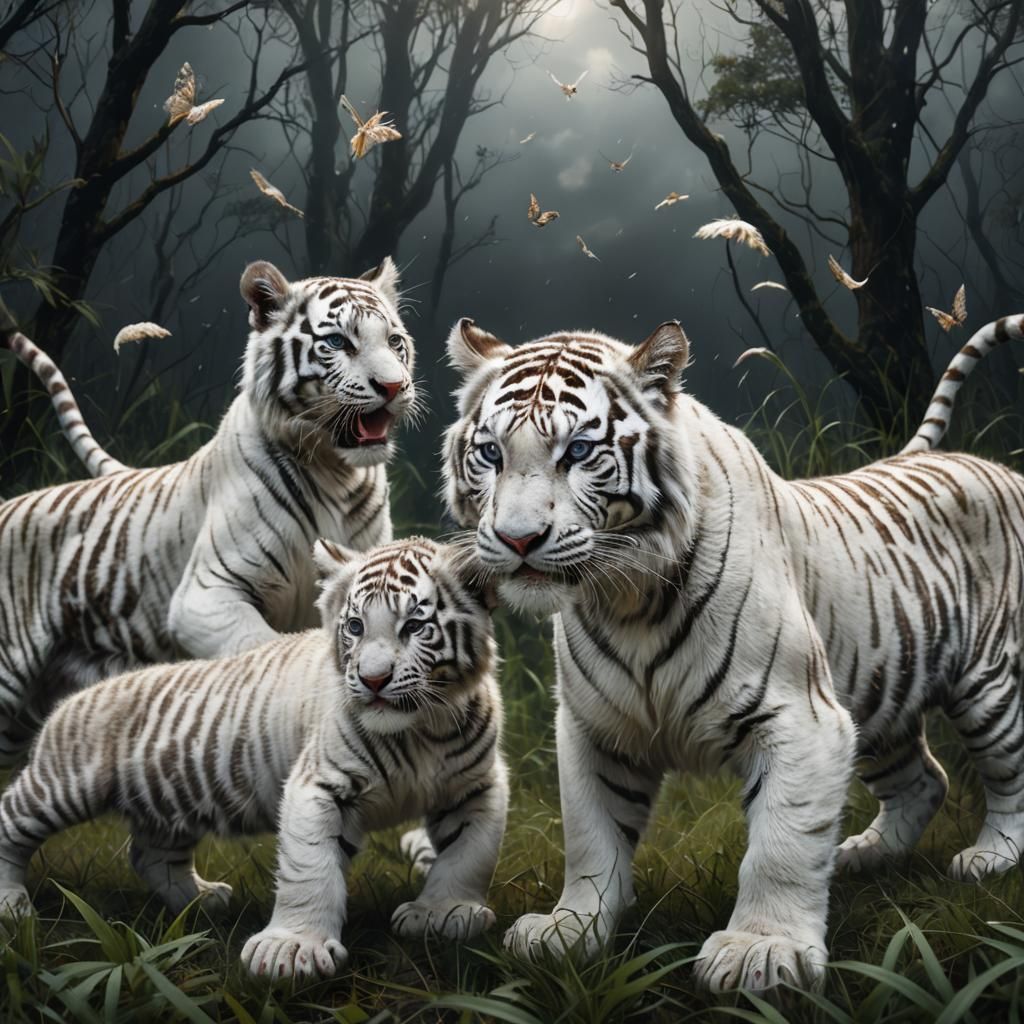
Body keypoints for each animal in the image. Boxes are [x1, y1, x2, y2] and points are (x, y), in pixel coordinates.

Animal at [0, 259, 416, 763]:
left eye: (394, 341)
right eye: (338, 342)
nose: (393, 386)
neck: (335, 471)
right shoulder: (204, 597)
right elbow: (261, 648)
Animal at [0, 536, 508, 980]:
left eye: (414, 627)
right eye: (356, 626)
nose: (373, 679)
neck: (422, 730)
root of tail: (74, 697)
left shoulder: (479, 787)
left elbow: (469, 853)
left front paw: (442, 915)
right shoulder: (318, 785)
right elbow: (310, 868)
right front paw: (291, 951)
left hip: (169, 803)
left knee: (150, 855)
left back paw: (203, 900)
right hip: (61, 784)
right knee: (12, 823)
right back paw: (11, 905)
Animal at [441, 312, 1024, 993]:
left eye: (578, 452)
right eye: (491, 453)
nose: (519, 539)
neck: (627, 599)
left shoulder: (803, 719)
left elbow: (781, 844)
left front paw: (760, 952)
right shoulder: (596, 728)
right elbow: (591, 837)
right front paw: (570, 931)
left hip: (988, 687)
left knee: (1008, 773)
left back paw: (989, 858)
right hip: (878, 697)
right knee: (924, 780)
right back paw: (864, 854)